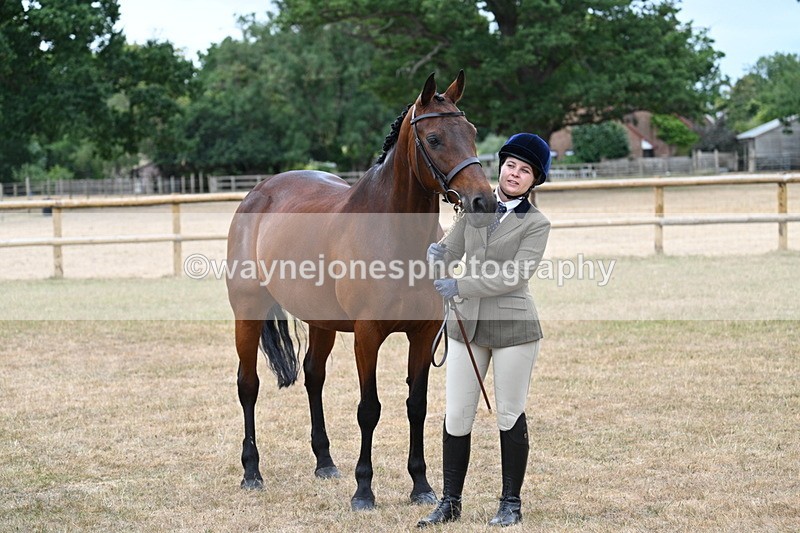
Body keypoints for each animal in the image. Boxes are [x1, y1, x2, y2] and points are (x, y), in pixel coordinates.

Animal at [226, 70, 496, 511]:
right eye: (435, 138)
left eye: (472, 132)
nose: (483, 202)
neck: (393, 235)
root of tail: (257, 193)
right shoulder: (367, 335)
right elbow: (369, 409)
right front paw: (364, 490)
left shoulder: (423, 335)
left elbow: (416, 406)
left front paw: (421, 485)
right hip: (247, 314)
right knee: (248, 385)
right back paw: (252, 472)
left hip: (321, 322)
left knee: (313, 377)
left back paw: (325, 463)